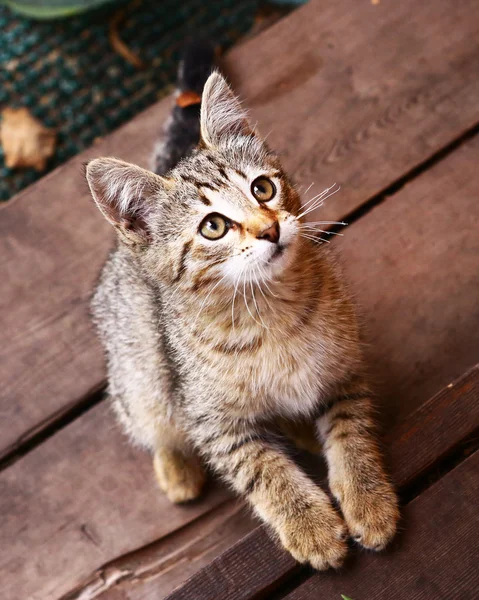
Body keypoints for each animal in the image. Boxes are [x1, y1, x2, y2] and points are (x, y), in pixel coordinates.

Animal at [85, 43, 398, 572]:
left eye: (262, 189)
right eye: (213, 226)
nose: (270, 229)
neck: (271, 312)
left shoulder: (344, 372)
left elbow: (352, 434)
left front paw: (367, 500)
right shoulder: (212, 421)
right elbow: (262, 469)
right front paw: (309, 526)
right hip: (140, 378)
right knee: (147, 419)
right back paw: (176, 466)